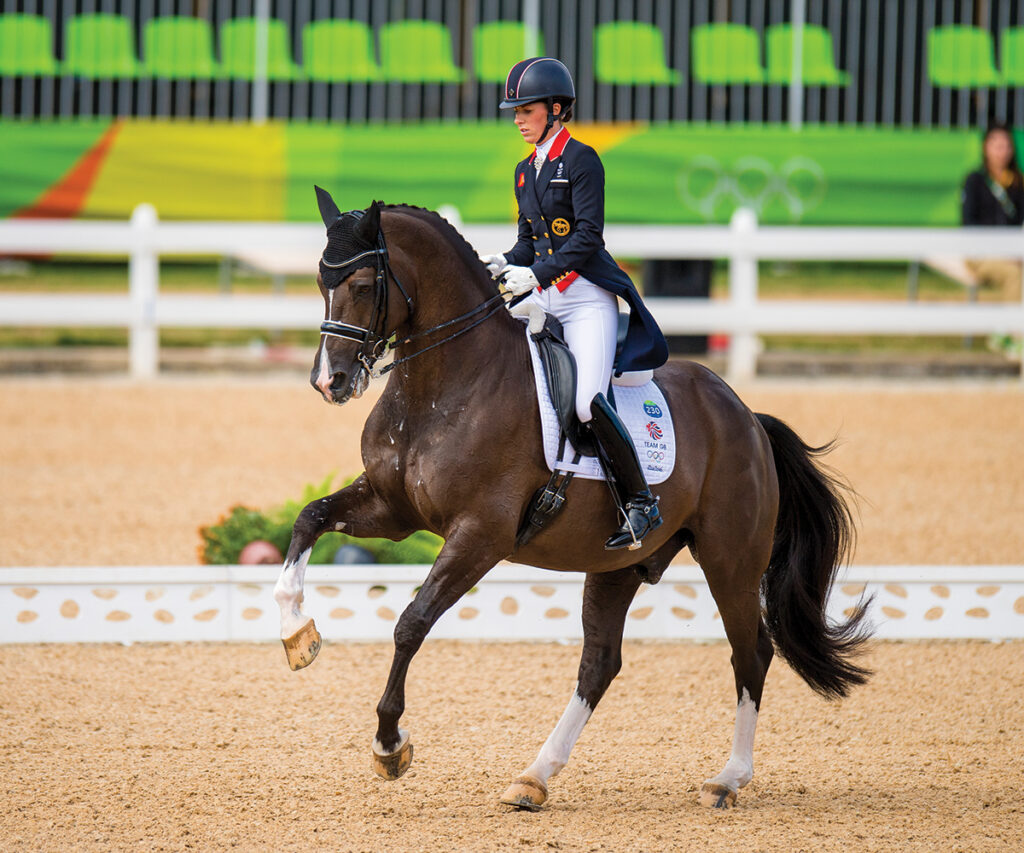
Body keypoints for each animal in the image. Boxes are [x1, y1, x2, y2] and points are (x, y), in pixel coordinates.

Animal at [272, 190, 871, 810]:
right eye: (320, 280)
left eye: (365, 284)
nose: (330, 381)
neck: (444, 385)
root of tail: (746, 415)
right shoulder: (393, 511)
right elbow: (309, 519)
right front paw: (298, 634)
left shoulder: (480, 534)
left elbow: (411, 623)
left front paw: (390, 744)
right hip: (619, 564)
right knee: (600, 664)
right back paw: (534, 777)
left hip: (731, 558)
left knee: (750, 651)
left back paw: (727, 779)